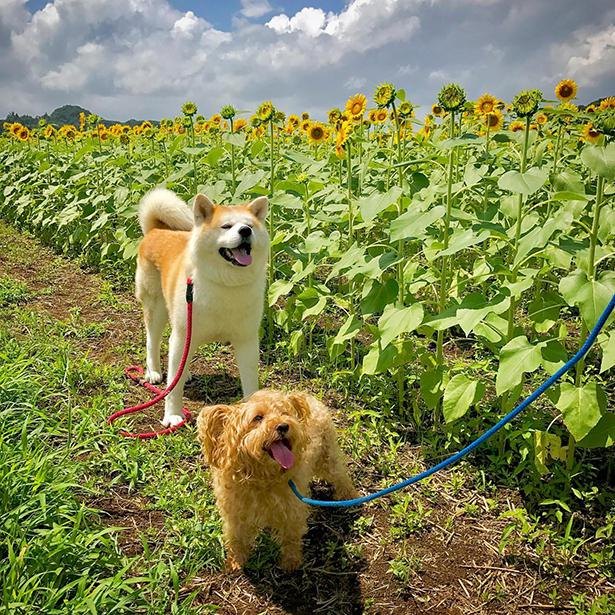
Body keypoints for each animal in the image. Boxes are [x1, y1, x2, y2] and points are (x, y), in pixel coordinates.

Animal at [135, 190, 270, 426]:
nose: (245, 231)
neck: (226, 285)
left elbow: (250, 383)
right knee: (153, 340)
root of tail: (156, 230)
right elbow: (173, 390)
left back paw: (183, 371)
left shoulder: (247, 340)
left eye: (250, 226)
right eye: (226, 226)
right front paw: (172, 415)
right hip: (156, 308)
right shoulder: (182, 334)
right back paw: (154, 371)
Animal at [197, 390, 356, 572]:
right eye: (258, 418)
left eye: (284, 413)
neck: (262, 478)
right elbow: (237, 539)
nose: (283, 426)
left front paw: (291, 562)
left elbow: (291, 538)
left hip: (328, 458)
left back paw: (349, 496)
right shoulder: (236, 516)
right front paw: (236, 562)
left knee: (341, 476)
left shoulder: (292, 511)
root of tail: (309, 397)